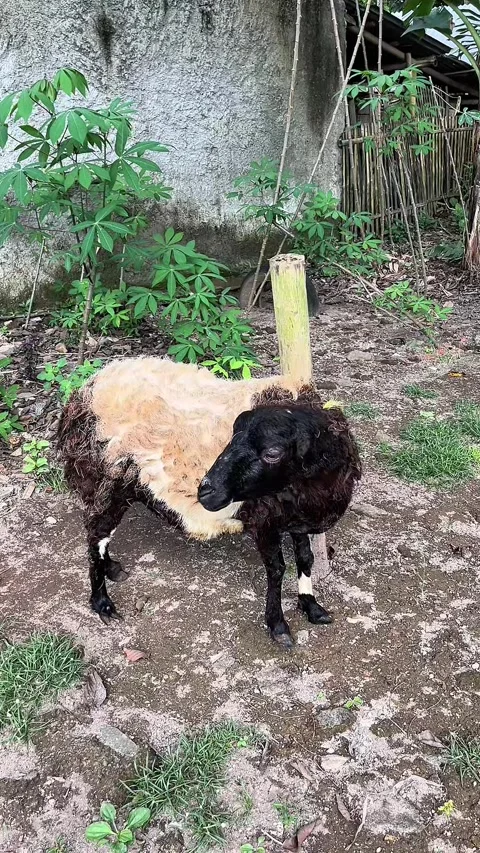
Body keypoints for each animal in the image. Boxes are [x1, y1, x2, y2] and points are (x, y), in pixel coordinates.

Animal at [58, 356, 361, 648]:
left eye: (273, 453)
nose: (204, 491)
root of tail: (85, 390)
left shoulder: (295, 517)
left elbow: (305, 558)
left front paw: (311, 606)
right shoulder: (265, 519)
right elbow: (277, 570)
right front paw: (278, 626)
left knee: (100, 535)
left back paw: (111, 568)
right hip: (108, 480)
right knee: (96, 534)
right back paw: (102, 602)